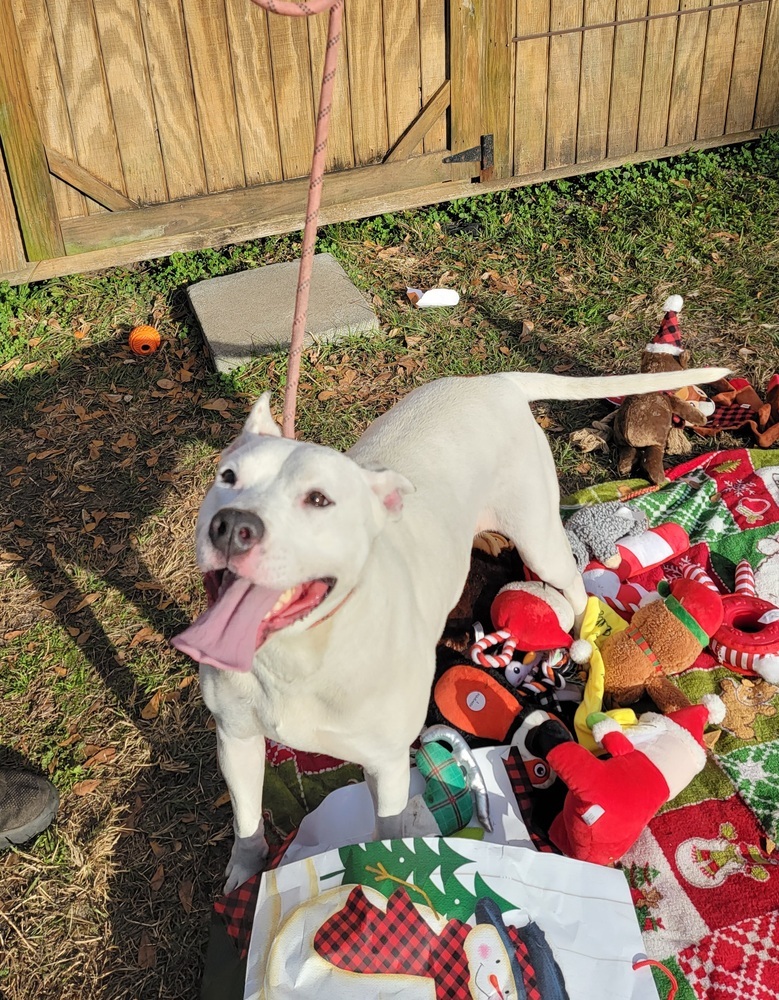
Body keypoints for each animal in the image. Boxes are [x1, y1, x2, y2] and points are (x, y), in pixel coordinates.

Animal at [174, 364, 728, 888]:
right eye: (227, 477)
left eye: (319, 500)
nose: (233, 526)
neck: (296, 656)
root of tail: (494, 382)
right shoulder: (236, 740)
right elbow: (248, 822)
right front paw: (244, 882)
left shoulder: (388, 765)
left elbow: (387, 829)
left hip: (538, 537)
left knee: (573, 591)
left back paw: (573, 648)